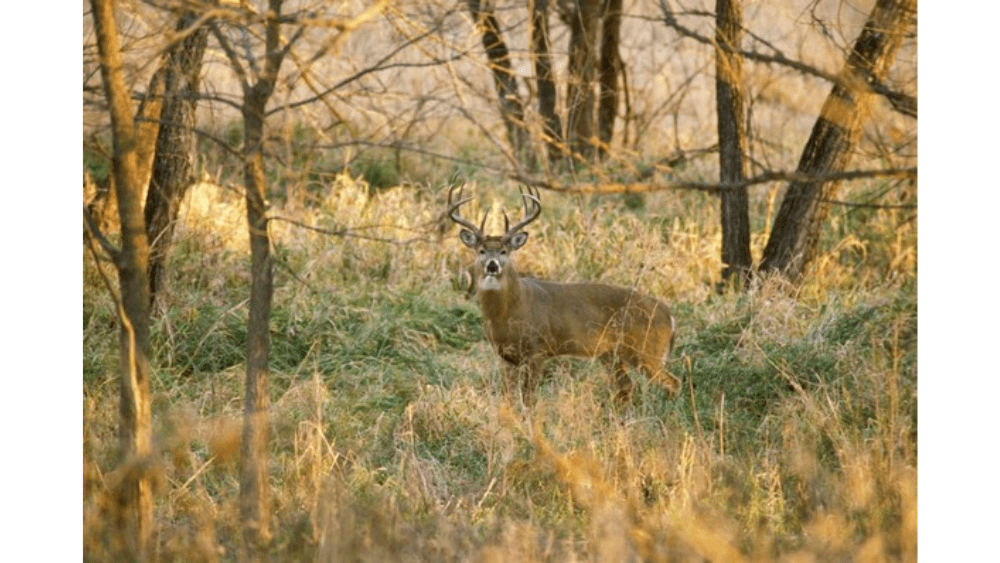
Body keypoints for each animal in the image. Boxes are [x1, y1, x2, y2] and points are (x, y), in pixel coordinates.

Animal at [452, 186, 680, 406]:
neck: (508, 312)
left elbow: (528, 397)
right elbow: (508, 396)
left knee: (673, 383)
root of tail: (669, 314)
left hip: (647, 350)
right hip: (611, 355)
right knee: (627, 388)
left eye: (504, 251)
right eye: (481, 251)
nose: (492, 266)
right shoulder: (504, 355)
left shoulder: (537, 349)